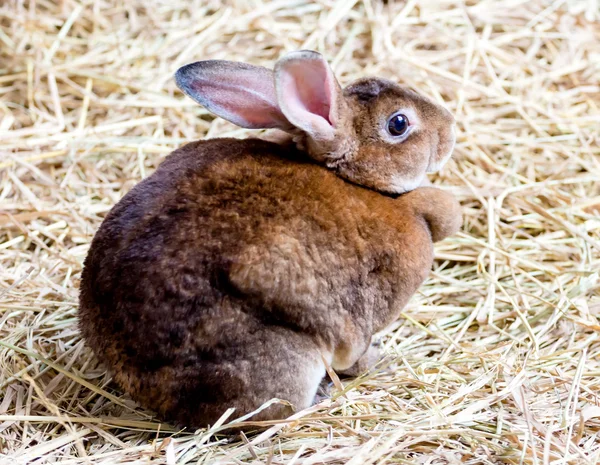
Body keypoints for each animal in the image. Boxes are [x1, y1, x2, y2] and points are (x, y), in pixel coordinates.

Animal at [78, 50, 460, 428]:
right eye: (399, 123)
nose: (450, 125)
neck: (355, 181)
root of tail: (141, 383)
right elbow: (355, 351)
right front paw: (379, 361)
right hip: (288, 361)